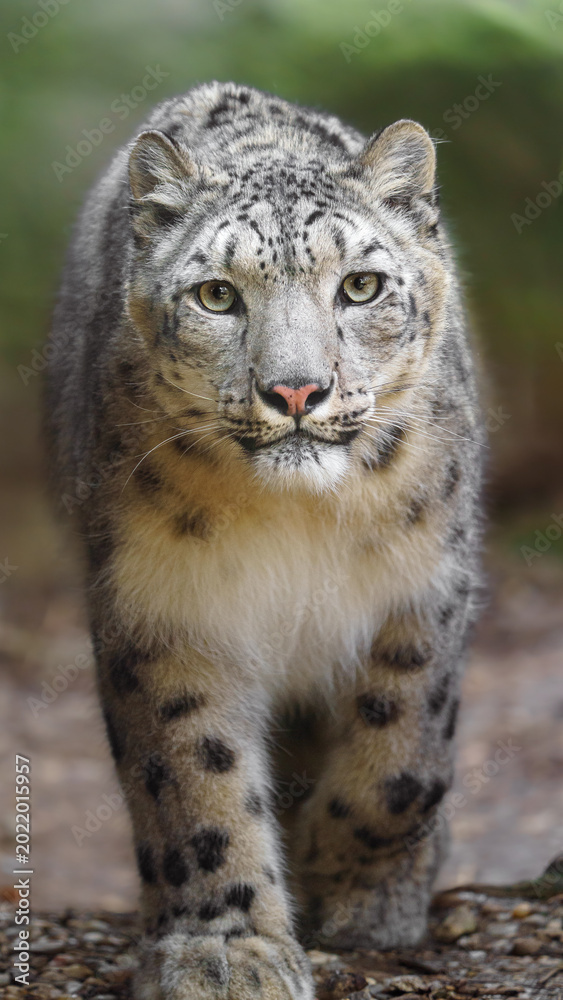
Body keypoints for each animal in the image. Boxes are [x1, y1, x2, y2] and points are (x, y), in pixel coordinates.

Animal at [45, 81, 484, 1000]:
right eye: (216, 295)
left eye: (360, 285)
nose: (294, 390)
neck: (298, 520)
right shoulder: (166, 610)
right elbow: (192, 780)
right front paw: (225, 951)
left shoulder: (425, 587)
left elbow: (402, 761)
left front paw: (347, 892)